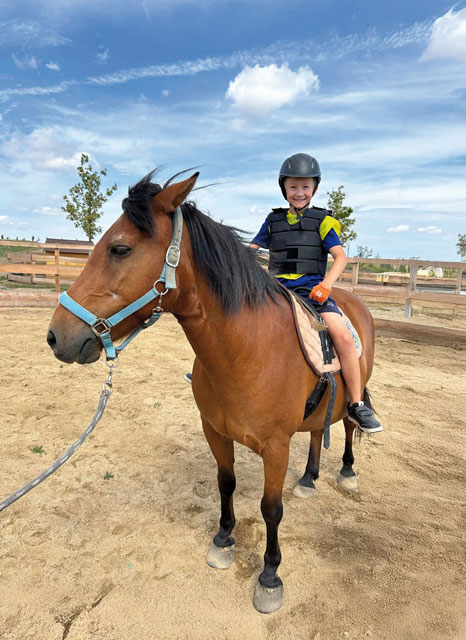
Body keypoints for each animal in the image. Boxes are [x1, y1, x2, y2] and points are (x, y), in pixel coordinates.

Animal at [47, 170, 375, 614]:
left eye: (119, 248)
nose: (55, 336)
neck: (248, 349)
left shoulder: (276, 446)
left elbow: (271, 509)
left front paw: (270, 576)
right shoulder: (215, 432)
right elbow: (226, 483)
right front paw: (223, 540)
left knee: (348, 424)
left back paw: (347, 469)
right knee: (315, 434)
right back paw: (308, 478)